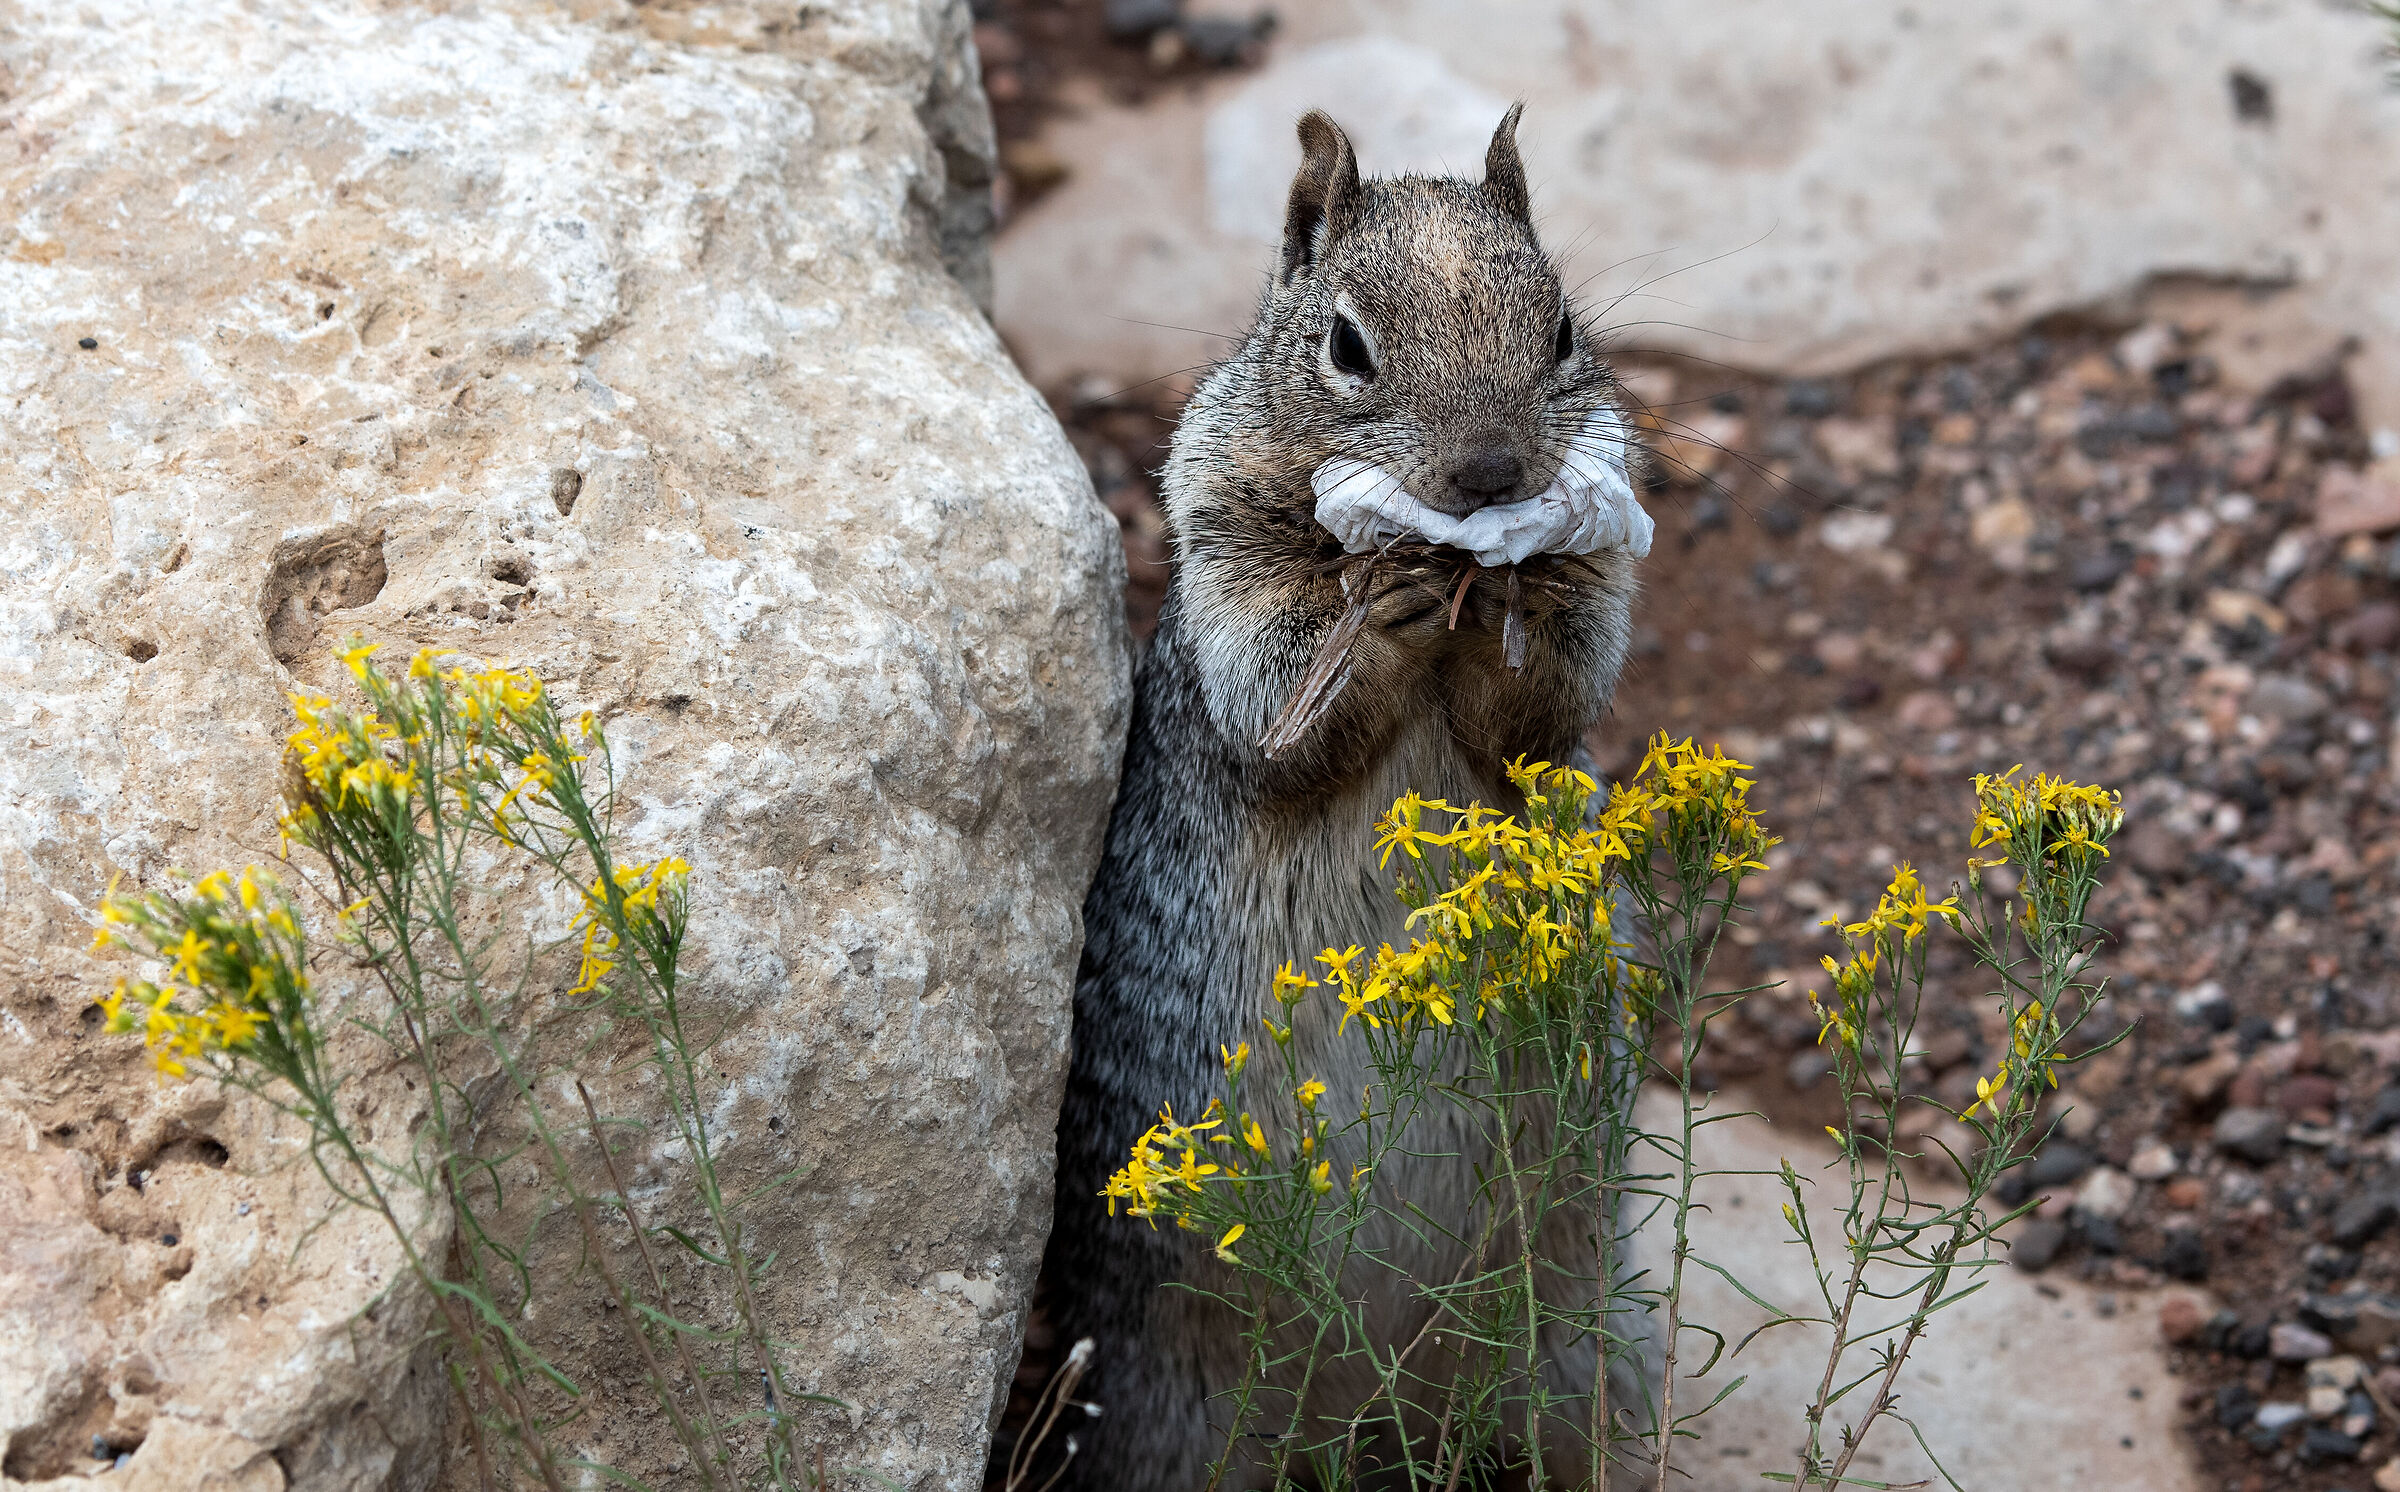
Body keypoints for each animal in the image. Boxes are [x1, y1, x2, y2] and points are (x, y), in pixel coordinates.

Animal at [1039, 106, 1649, 1488]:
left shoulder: (1588, 618)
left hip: (1580, 1340)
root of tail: (1377, 1412)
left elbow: (1536, 718)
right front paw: (1382, 615)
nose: (1490, 474)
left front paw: (1503, 602)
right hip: (1170, 1411)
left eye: (1564, 330)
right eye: (1345, 347)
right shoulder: (1229, 579)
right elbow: (1286, 721)